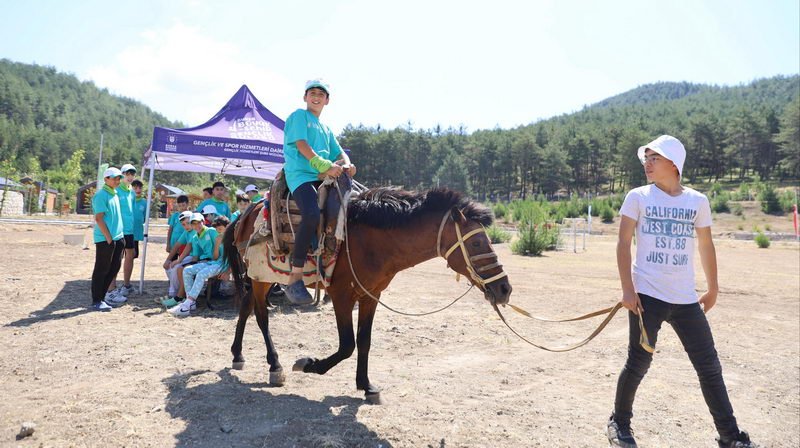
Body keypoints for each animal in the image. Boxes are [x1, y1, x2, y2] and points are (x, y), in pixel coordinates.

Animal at [223, 187, 512, 404]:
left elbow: (364, 341)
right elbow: (347, 345)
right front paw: (309, 364)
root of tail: (247, 213)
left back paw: (238, 355)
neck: (369, 241)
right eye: (476, 242)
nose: (504, 289)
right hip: (260, 277)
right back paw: (275, 366)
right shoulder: (341, 296)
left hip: (262, 278)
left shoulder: (370, 295)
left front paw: (366, 385)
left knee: (246, 307)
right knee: (261, 315)